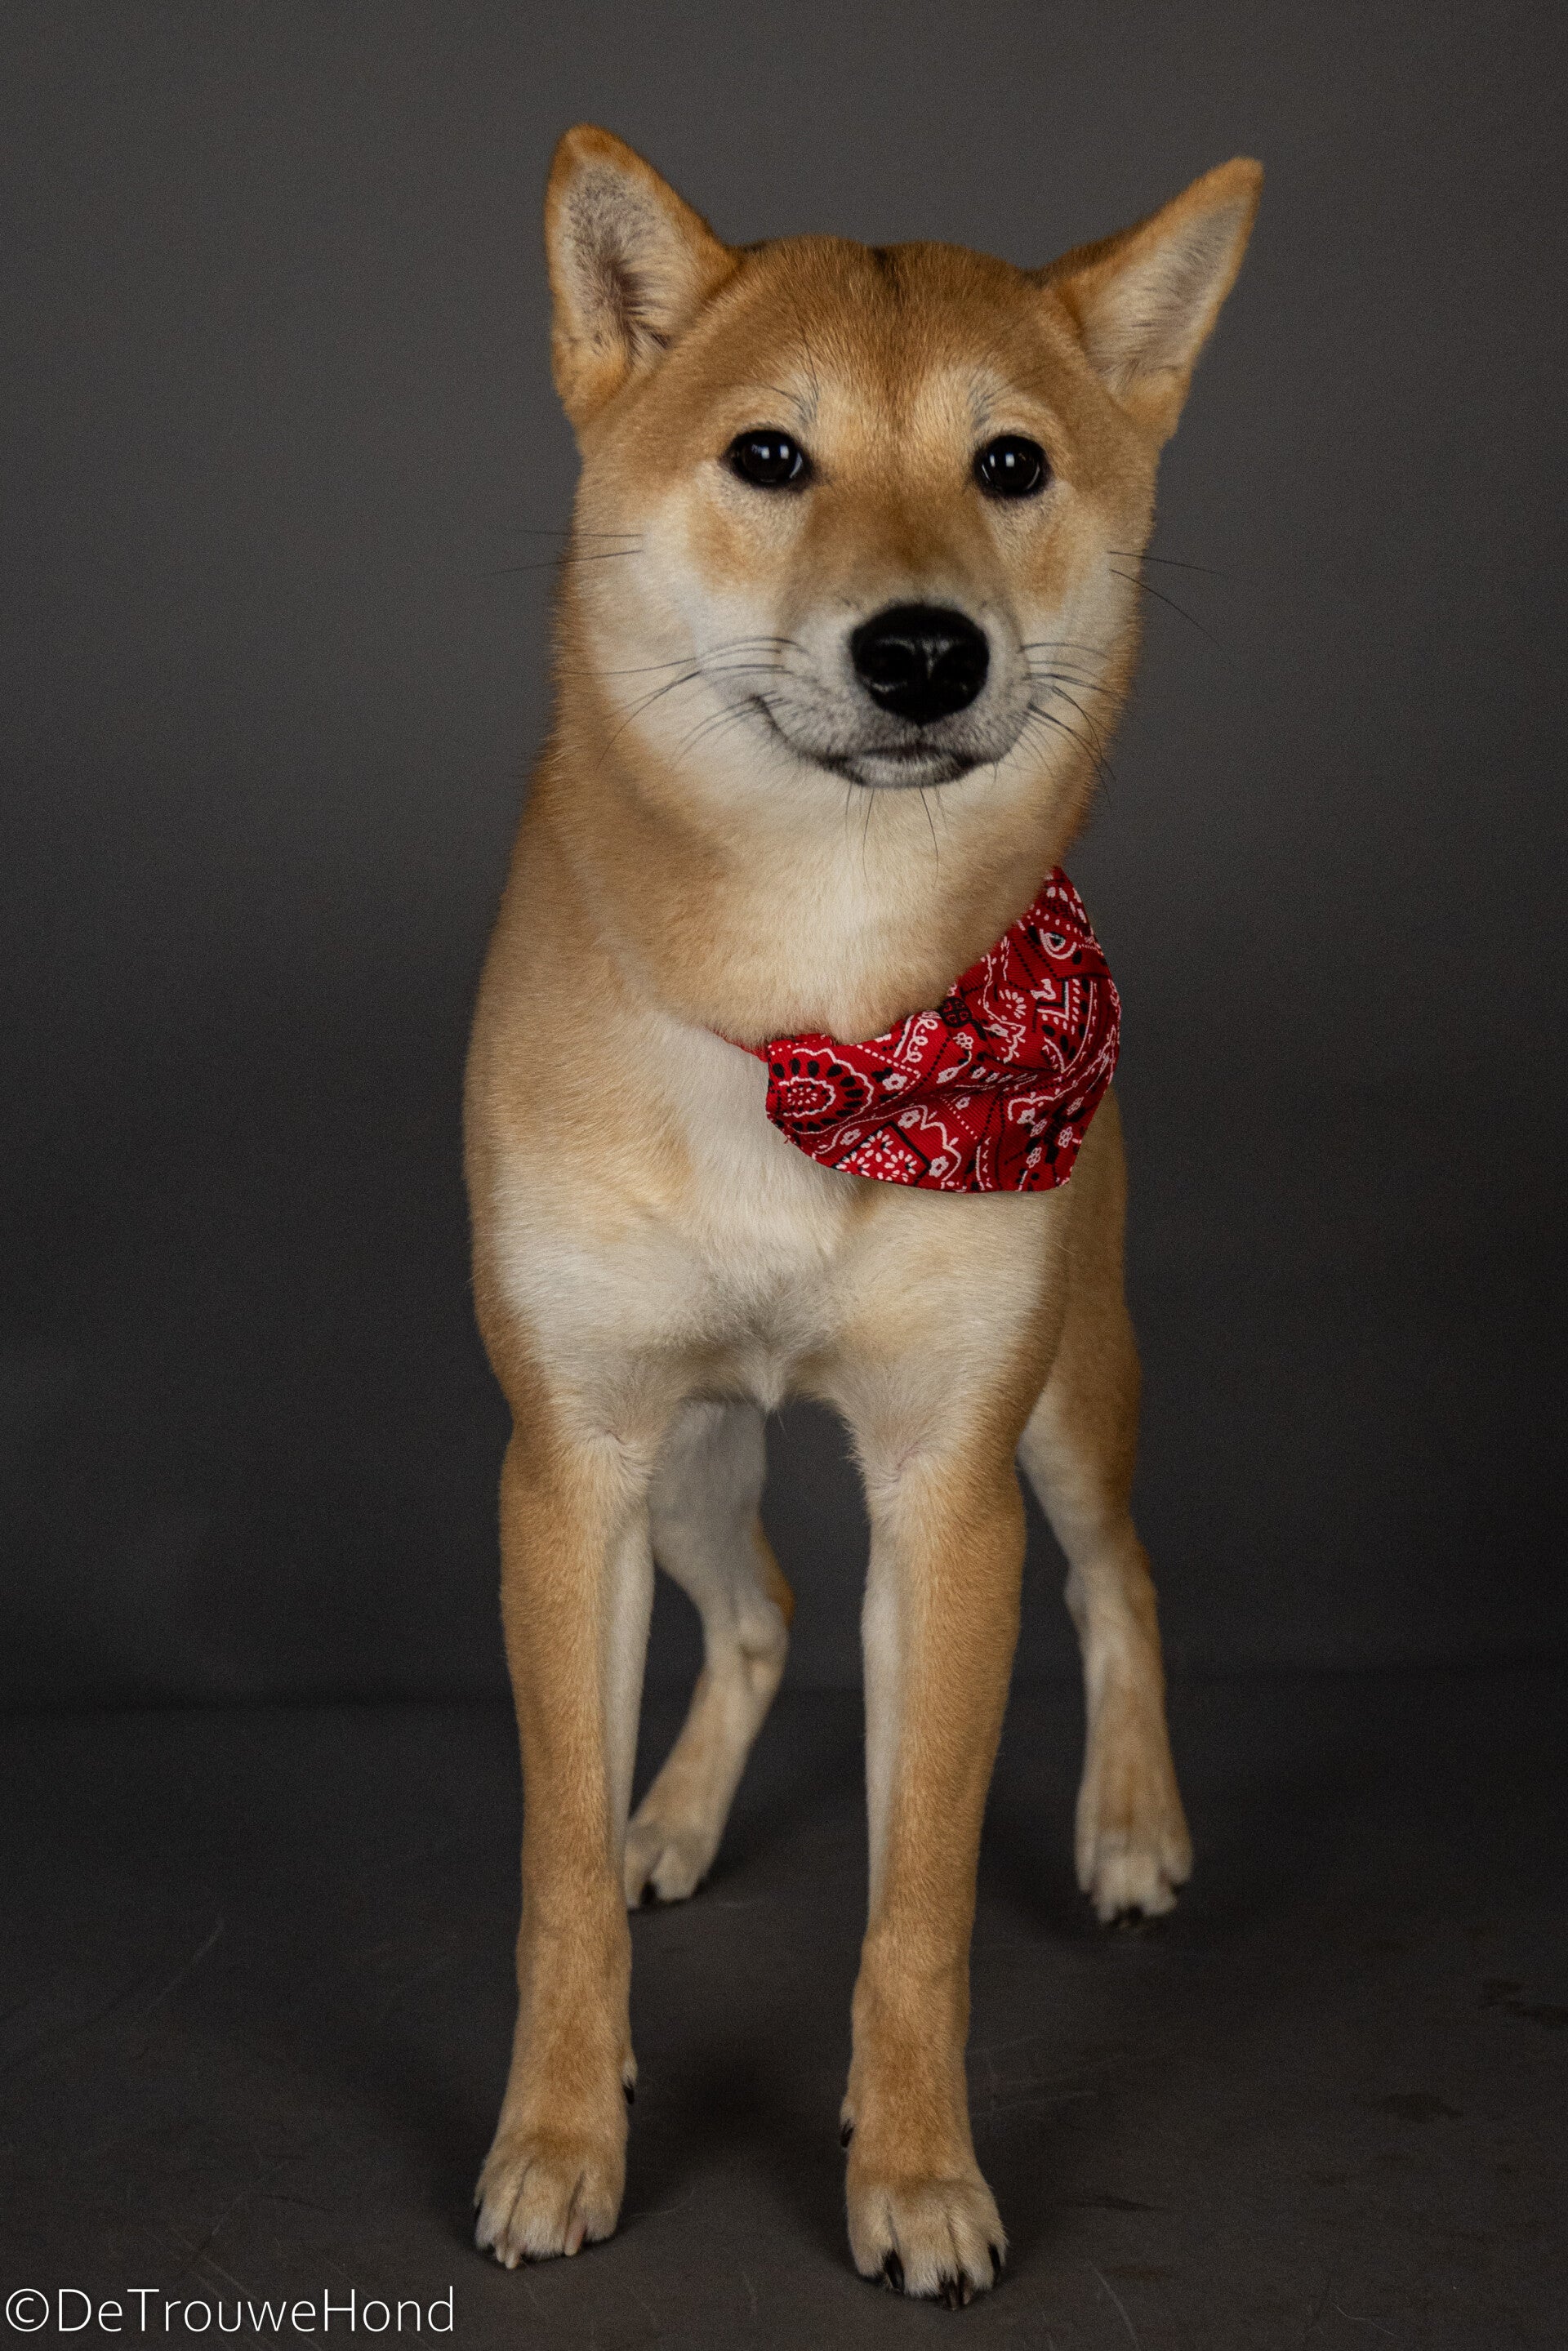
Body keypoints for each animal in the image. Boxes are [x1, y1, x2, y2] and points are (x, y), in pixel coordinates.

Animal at [464, 124, 1259, 2303]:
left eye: (1009, 463)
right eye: (768, 456)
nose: (922, 649)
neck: (810, 1014)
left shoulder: (947, 1489)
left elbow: (918, 1903)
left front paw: (913, 2173)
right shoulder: (571, 1460)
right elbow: (554, 1867)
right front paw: (558, 2131)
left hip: (1069, 1396)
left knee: (1120, 1576)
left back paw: (1131, 1824)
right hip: (690, 1454)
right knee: (752, 1610)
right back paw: (669, 1820)